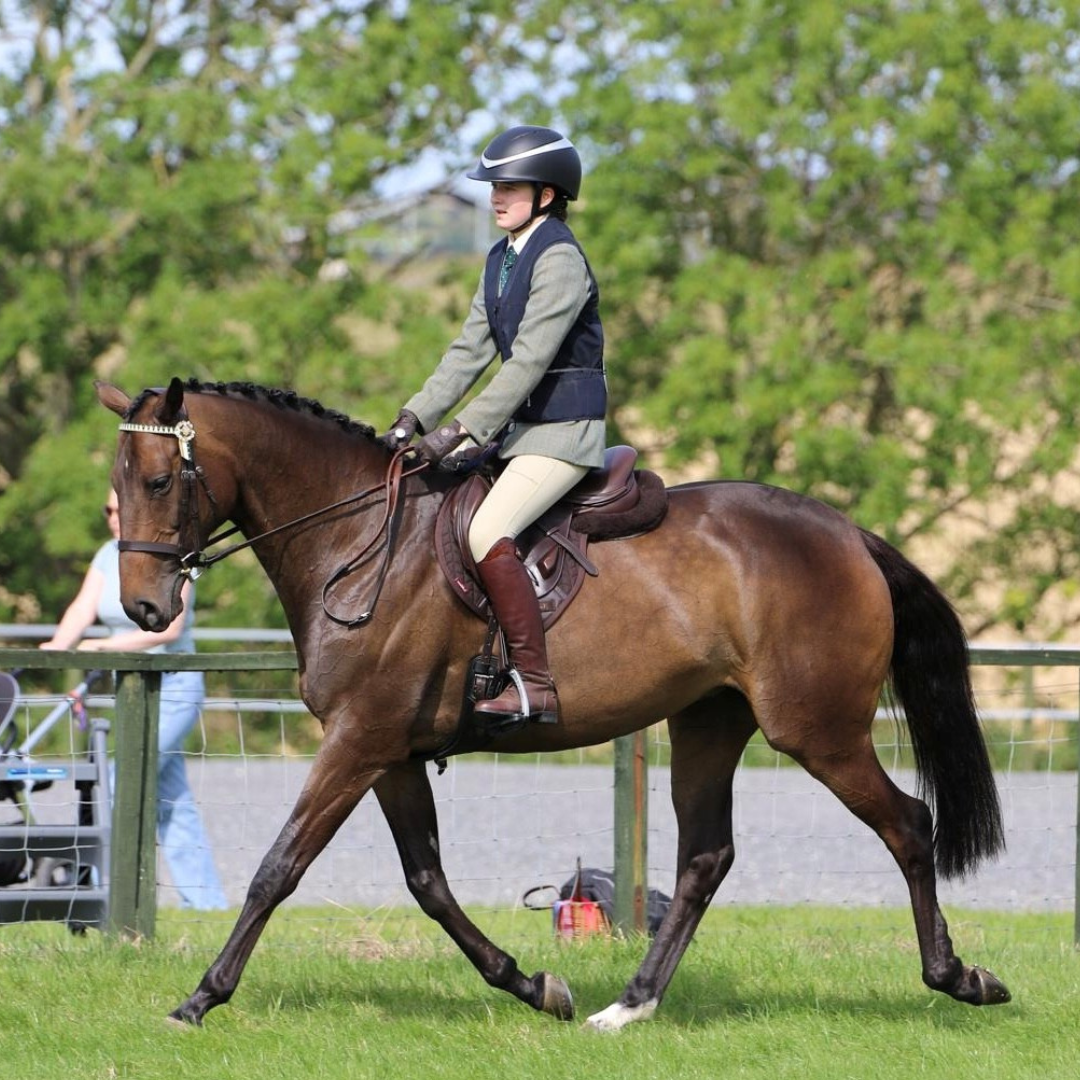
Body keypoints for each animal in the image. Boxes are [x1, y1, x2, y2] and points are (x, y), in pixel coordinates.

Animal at [95, 377, 1010, 1030]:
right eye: (118, 486)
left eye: (160, 480)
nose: (143, 608)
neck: (357, 540)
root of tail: (847, 533)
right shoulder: (387, 752)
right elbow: (427, 880)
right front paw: (534, 985)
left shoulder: (358, 740)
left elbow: (278, 868)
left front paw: (200, 998)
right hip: (709, 721)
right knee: (705, 859)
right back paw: (627, 1006)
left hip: (817, 732)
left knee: (908, 825)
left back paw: (960, 977)